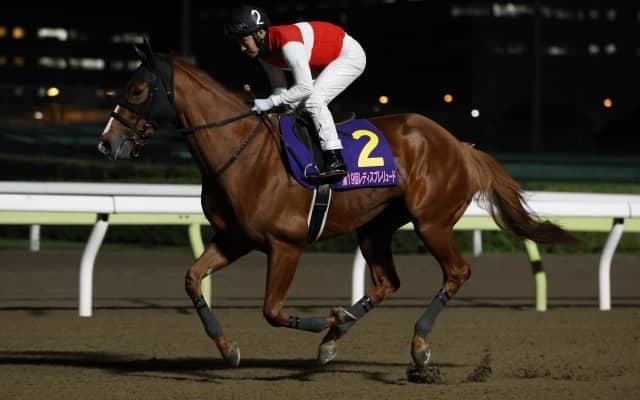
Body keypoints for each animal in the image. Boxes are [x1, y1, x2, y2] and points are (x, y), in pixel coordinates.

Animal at [97, 38, 577, 372]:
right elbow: (192, 279)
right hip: (375, 227)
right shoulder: (235, 238)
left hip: (432, 222)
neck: (241, 154)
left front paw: (325, 318)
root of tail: (459, 145)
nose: (106, 142)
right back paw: (334, 339)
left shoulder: (286, 244)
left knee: (456, 273)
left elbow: (272, 311)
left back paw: (417, 345)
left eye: (137, 89)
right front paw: (229, 347)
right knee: (386, 282)